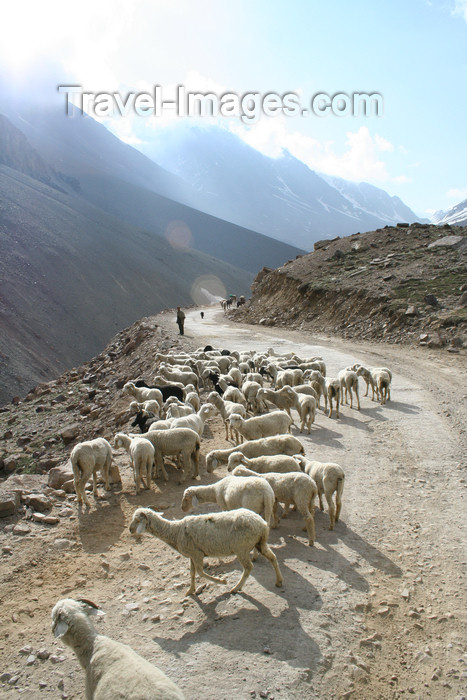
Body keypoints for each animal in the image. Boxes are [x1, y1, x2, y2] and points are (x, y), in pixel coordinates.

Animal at [128, 506, 284, 592]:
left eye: (137, 520)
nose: (130, 530)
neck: (174, 532)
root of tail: (262, 524)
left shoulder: (197, 554)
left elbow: (201, 573)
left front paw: (222, 581)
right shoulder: (192, 555)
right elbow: (192, 573)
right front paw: (190, 591)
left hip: (242, 549)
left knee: (249, 567)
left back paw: (236, 588)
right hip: (259, 543)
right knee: (273, 557)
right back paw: (279, 581)